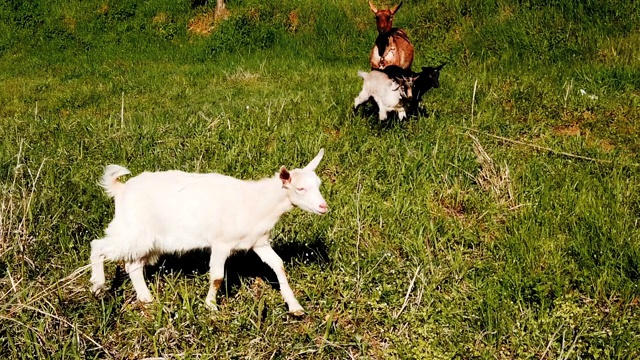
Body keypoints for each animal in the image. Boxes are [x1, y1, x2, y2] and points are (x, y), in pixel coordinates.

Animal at [90, 149, 328, 316]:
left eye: (318, 185)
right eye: (300, 189)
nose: (324, 207)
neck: (256, 202)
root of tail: (120, 189)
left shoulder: (258, 242)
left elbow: (279, 266)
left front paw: (295, 306)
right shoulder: (221, 242)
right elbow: (217, 277)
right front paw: (211, 306)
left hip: (145, 239)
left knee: (133, 265)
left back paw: (145, 298)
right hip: (132, 230)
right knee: (98, 245)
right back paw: (98, 286)